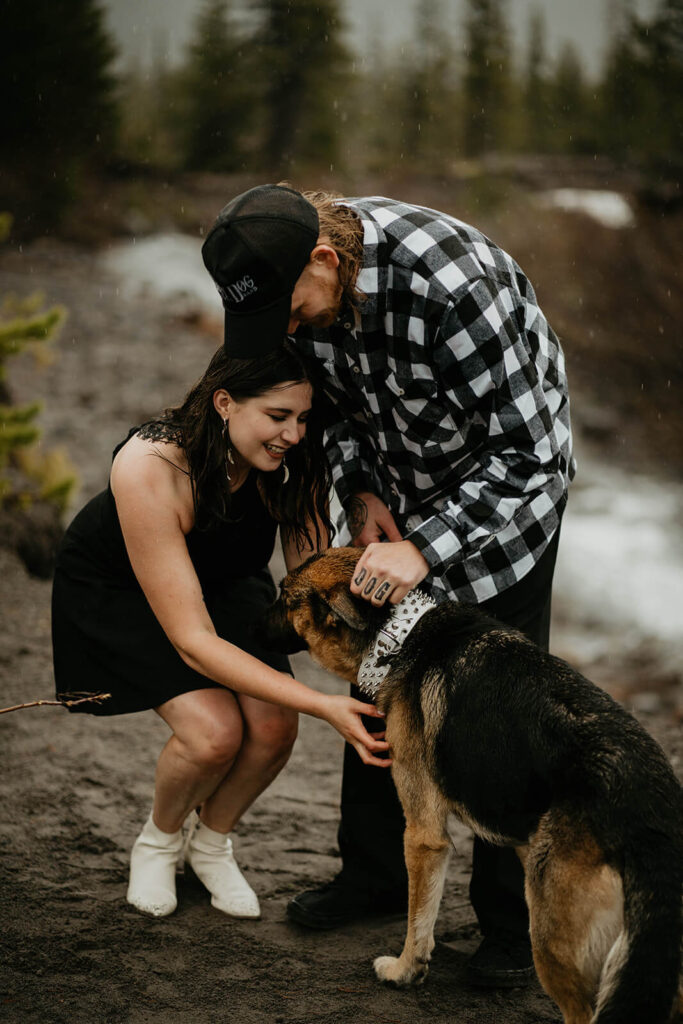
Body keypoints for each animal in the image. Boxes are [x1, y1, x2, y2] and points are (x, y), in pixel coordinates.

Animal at [262, 552, 683, 1024]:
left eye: (284, 598)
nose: (249, 624)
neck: (399, 635)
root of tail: (647, 809)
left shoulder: (424, 835)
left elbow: (418, 919)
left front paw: (405, 971)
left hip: (555, 939)